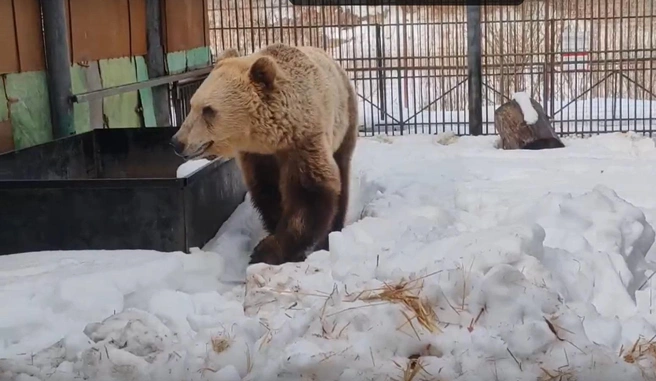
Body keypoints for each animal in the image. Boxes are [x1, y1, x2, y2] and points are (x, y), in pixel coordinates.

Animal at [169, 42, 358, 264]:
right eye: (192, 105)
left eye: (208, 110)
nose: (177, 142)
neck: (270, 136)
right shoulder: (258, 156)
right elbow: (267, 191)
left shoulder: (303, 141)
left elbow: (309, 193)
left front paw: (267, 251)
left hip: (344, 119)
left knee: (342, 171)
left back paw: (333, 231)